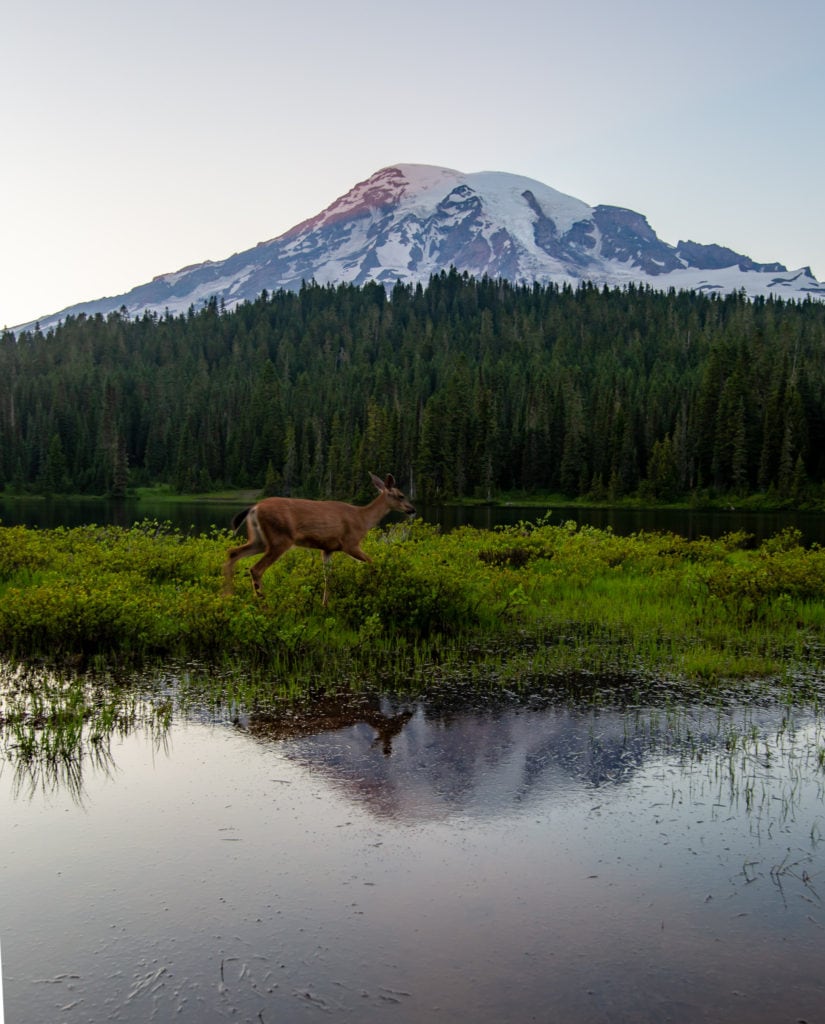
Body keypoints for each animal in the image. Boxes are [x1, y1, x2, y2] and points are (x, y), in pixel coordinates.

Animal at [223, 475, 417, 602]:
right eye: (401, 495)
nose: (412, 509)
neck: (363, 519)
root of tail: (254, 507)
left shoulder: (328, 548)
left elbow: (327, 576)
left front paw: (325, 605)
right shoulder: (350, 543)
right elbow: (372, 562)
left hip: (259, 540)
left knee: (232, 553)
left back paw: (228, 596)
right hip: (280, 538)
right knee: (255, 569)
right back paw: (263, 604)